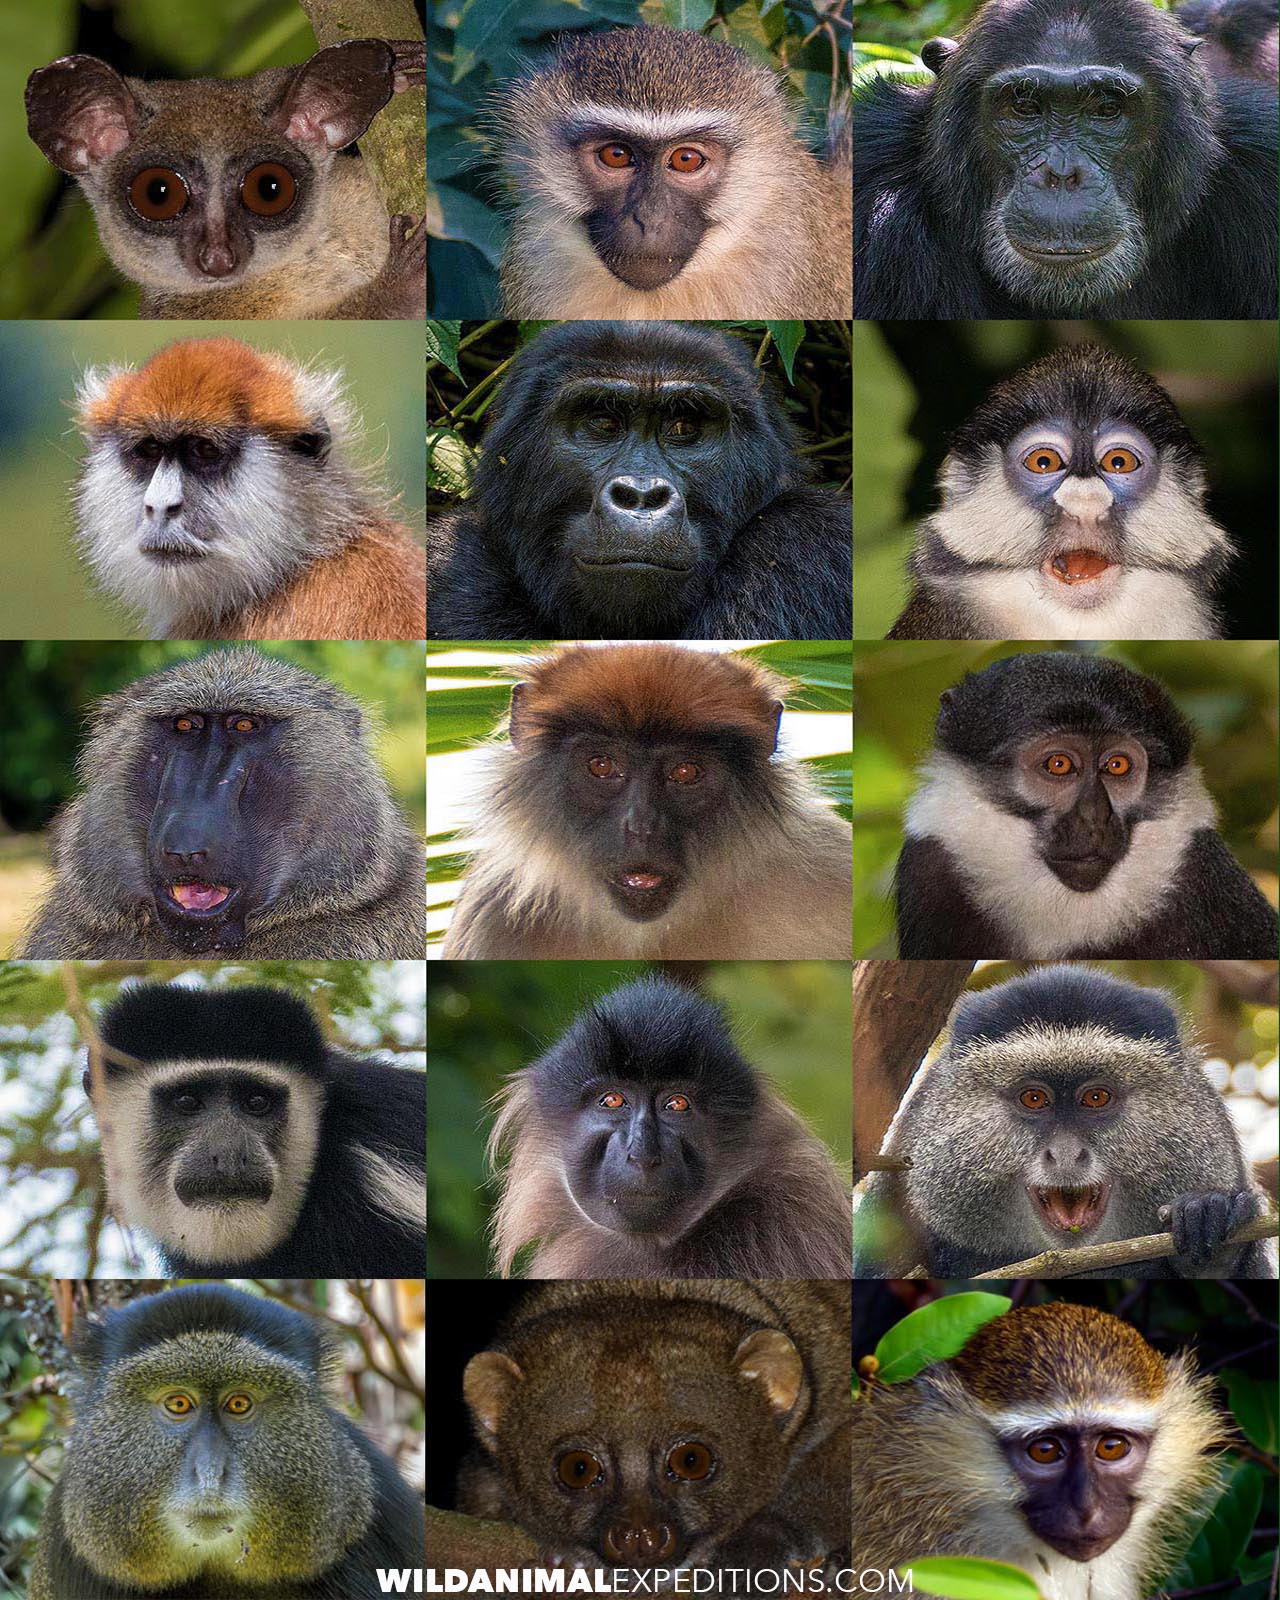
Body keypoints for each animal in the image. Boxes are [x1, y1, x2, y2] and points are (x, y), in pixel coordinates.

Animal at [25, 39, 426, 320]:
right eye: (158, 194)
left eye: (269, 189)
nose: (218, 259)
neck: (306, 251)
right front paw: (400, 286)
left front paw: (399, 69)